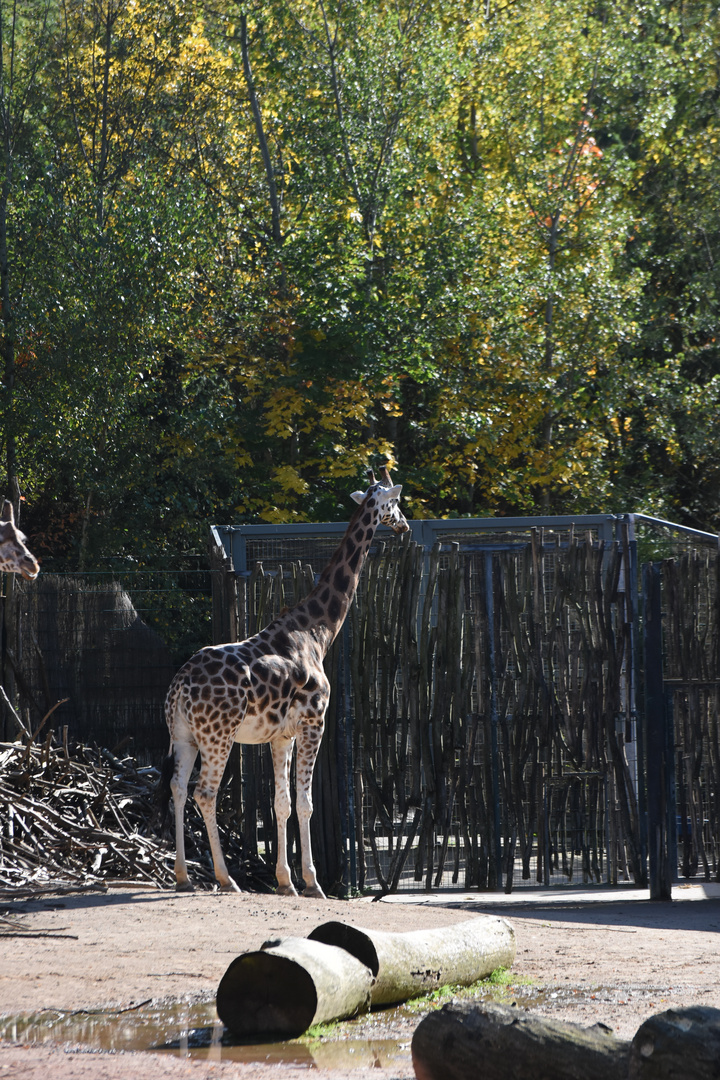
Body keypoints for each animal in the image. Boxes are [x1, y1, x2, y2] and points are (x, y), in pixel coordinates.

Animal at [165, 464, 410, 894]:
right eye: (395, 502)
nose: (406, 526)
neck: (317, 630)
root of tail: (179, 688)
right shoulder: (315, 722)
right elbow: (306, 803)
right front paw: (313, 883)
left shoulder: (280, 735)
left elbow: (282, 803)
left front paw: (286, 882)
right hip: (218, 735)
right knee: (205, 793)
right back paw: (226, 879)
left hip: (184, 734)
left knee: (178, 789)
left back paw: (183, 876)